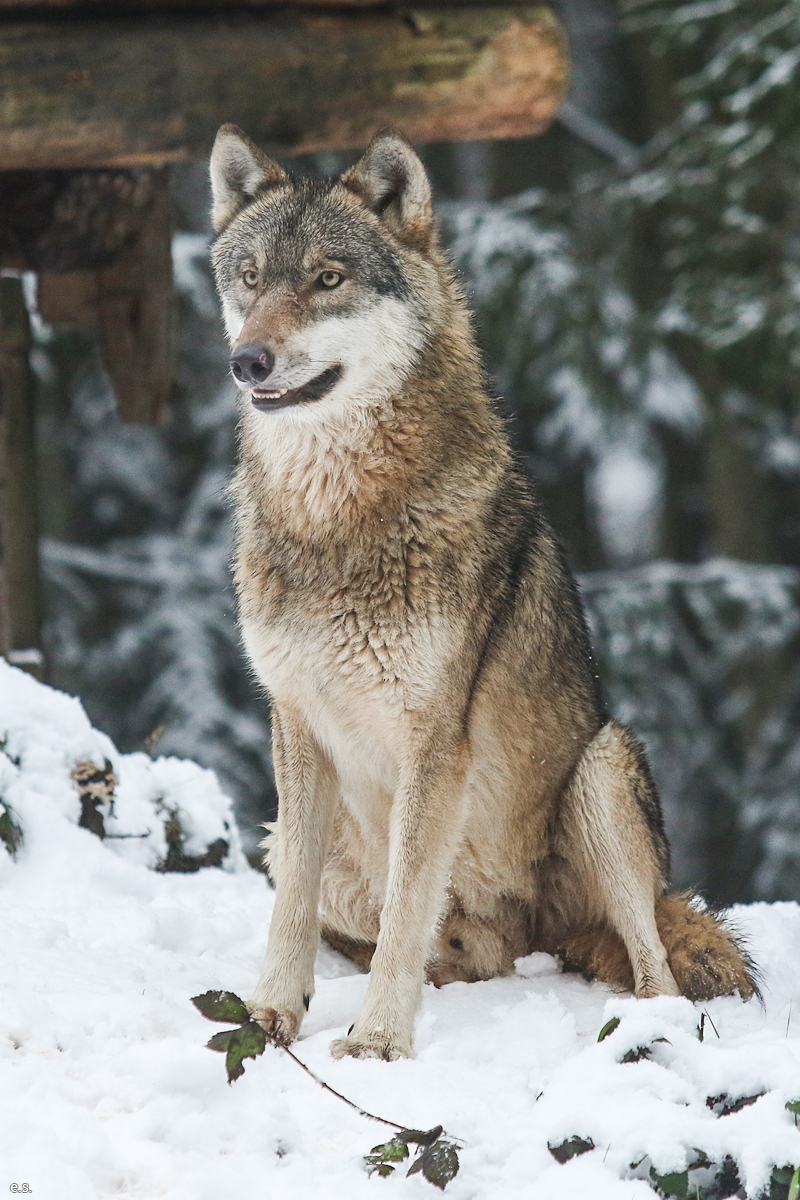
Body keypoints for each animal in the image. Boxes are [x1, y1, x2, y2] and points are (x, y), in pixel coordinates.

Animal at [209, 123, 757, 1061]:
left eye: (328, 279)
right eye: (250, 278)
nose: (250, 359)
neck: (335, 520)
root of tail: (544, 935)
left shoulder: (437, 745)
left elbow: (406, 910)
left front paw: (378, 1043)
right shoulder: (296, 726)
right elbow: (293, 916)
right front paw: (268, 1016)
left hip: (601, 770)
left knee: (655, 972)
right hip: (288, 837)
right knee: (460, 952)